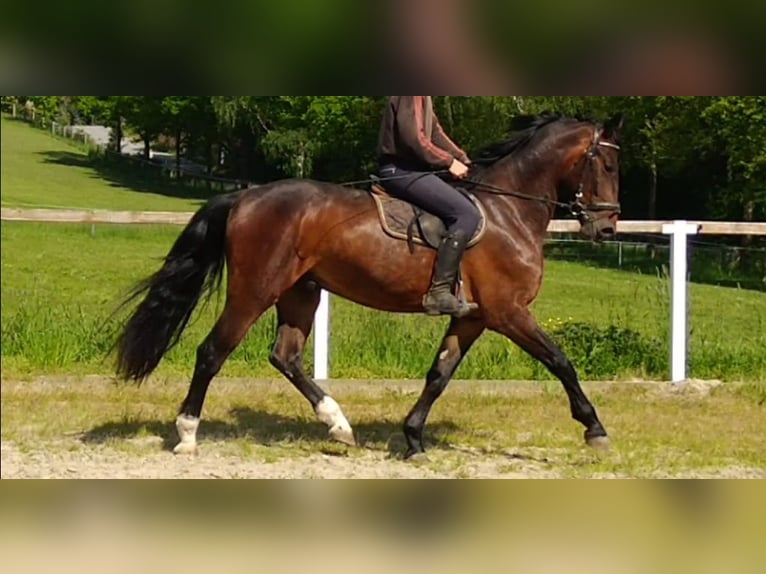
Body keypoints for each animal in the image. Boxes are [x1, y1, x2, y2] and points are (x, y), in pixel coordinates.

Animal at [114, 112, 624, 460]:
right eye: (608, 165)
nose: (606, 228)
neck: (507, 212)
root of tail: (246, 195)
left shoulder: (475, 317)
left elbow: (439, 375)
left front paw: (413, 438)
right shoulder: (509, 312)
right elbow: (561, 362)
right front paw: (595, 429)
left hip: (301, 293)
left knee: (285, 356)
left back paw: (338, 425)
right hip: (254, 292)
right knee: (212, 352)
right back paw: (187, 434)